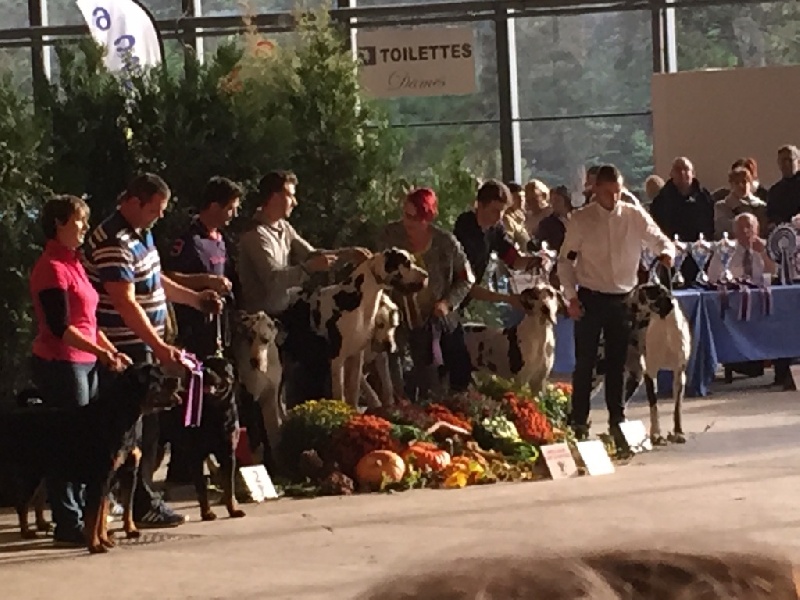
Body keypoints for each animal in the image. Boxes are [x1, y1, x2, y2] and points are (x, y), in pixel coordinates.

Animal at [0, 364, 183, 553]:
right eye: (157, 377)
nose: (178, 379)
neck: (121, 416)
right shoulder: (100, 479)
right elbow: (94, 516)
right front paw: (95, 545)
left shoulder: (114, 478)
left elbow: (103, 514)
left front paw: (105, 540)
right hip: (30, 474)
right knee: (22, 503)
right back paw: (26, 532)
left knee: (37, 499)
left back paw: (41, 525)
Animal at [161, 356, 245, 521]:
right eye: (203, 365)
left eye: (220, 366)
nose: (205, 370)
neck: (215, 412)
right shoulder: (196, 455)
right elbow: (201, 488)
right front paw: (207, 513)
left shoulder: (228, 453)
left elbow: (229, 486)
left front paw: (233, 510)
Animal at [300, 248, 427, 406]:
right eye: (407, 263)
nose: (426, 275)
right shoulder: (337, 359)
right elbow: (340, 395)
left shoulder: (356, 356)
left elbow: (354, 392)